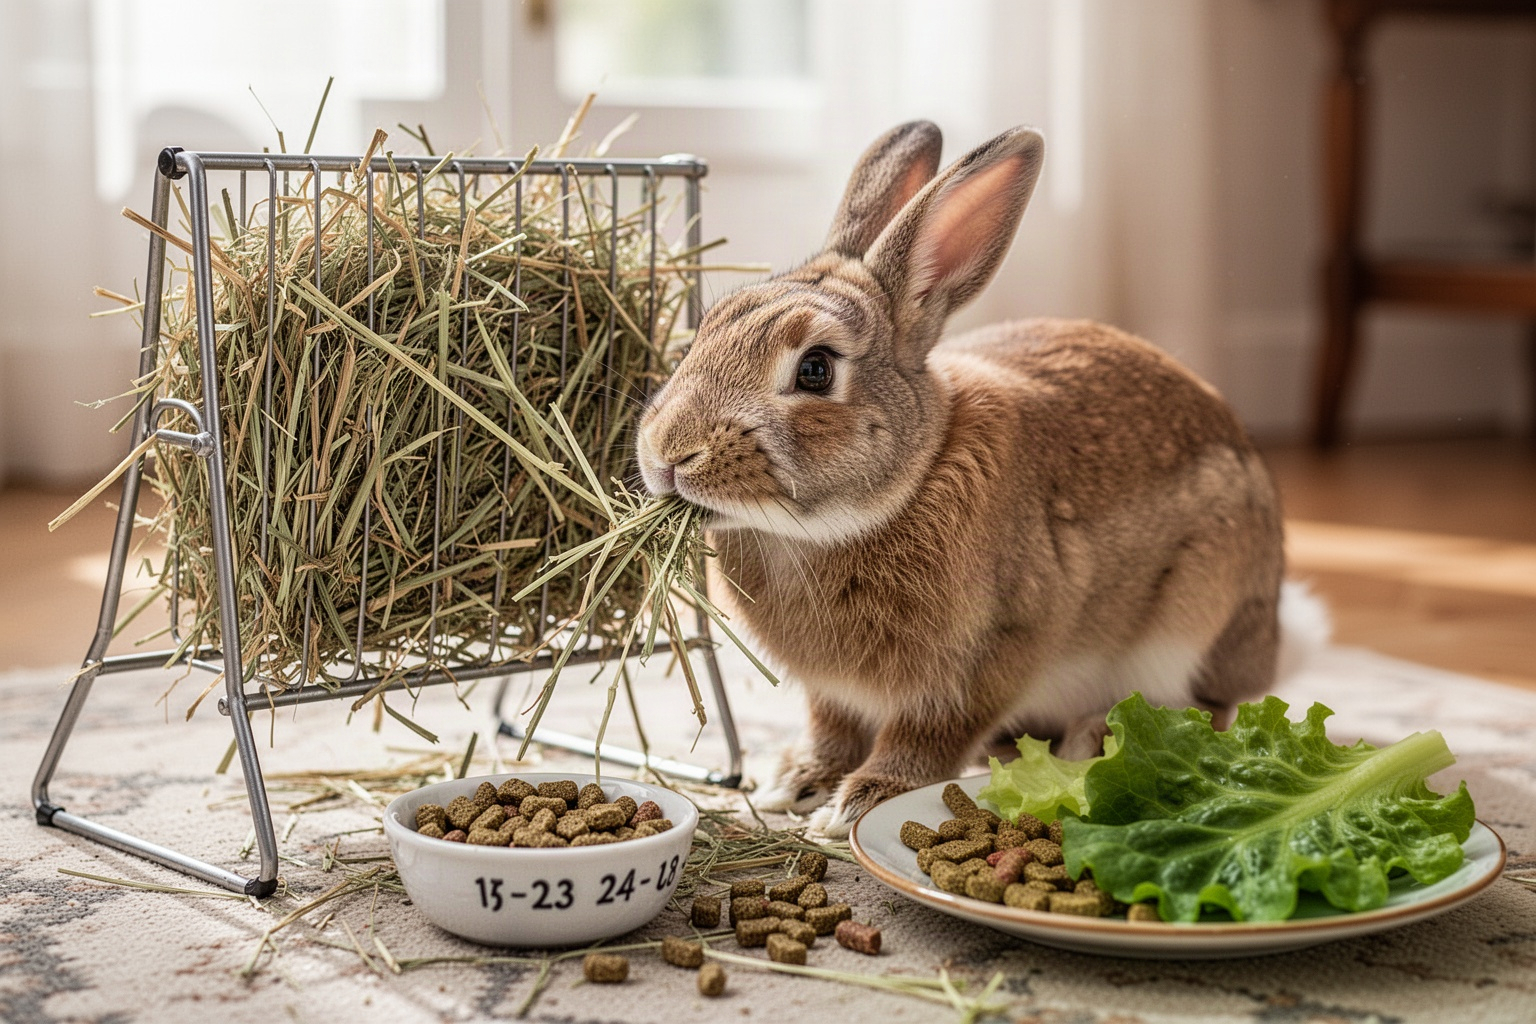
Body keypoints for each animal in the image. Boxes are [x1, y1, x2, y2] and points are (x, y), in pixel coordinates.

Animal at [635, 121, 1288, 837]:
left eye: (815, 369)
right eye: (706, 329)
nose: (667, 454)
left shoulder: (986, 656)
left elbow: (929, 736)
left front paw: (856, 803)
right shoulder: (831, 694)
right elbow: (831, 730)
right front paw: (794, 783)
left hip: (1193, 620)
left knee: (1209, 710)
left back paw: (1091, 740)